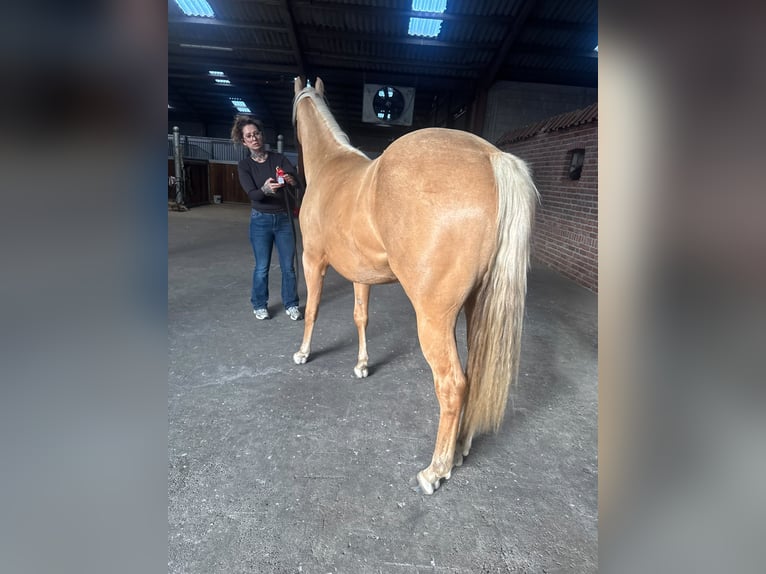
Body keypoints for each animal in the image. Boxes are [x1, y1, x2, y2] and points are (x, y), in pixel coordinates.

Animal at [291, 77, 539, 494]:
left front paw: (303, 353)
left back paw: (435, 470)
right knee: (474, 374)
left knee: (453, 384)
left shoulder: (313, 260)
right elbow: (361, 316)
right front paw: (362, 365)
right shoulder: (362, 276)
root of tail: (492, 157)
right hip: (477, 307)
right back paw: (460, 448)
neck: (330, 167)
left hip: (434, 318)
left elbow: (312, 310)